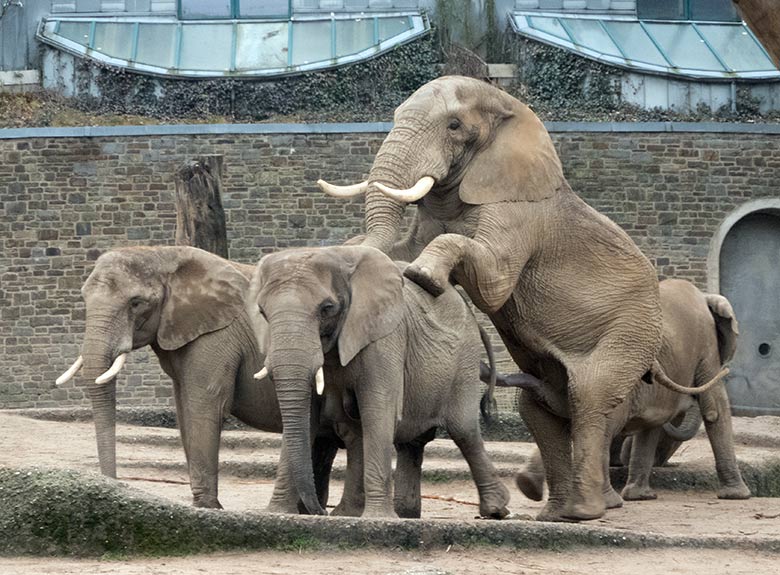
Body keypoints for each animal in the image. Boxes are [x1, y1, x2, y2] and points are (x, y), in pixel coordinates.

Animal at [56, 245, 340, 510]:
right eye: (83, 297)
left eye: (136, 303)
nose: (114, 485)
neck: (162, 254)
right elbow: (184, 412)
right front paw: (204, 505)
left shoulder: (217, 335)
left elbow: (205, 407)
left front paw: (207, 507)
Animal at [247, 245, 508, 520]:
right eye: (262, 312)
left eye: (327, 308)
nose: (319, 512)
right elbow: (306, 417)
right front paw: (277, 514)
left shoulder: (384, 337)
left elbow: (377, 408)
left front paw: (378, 518)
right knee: (396, 440)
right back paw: (384, 514)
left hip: (464, 361)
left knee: (464, 431)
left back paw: (495, 510)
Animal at [320, 75, 724, 520]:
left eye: (454, 126)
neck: (510, 110)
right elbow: (405, 248)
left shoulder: (518, 214)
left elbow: (493, 285)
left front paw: (422, 276)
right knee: (540, 408)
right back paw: (554, 514)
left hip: (631, 331)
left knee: (591, 400)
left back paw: (583, 511)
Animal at [508, 282, 752, 506]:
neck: (704, 294)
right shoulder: (706, 344)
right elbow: (715, 409)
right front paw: (738, 495)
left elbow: (654, 425)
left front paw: (640, 496)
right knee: (604, 428)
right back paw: (608, 501)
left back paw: (529, 486)